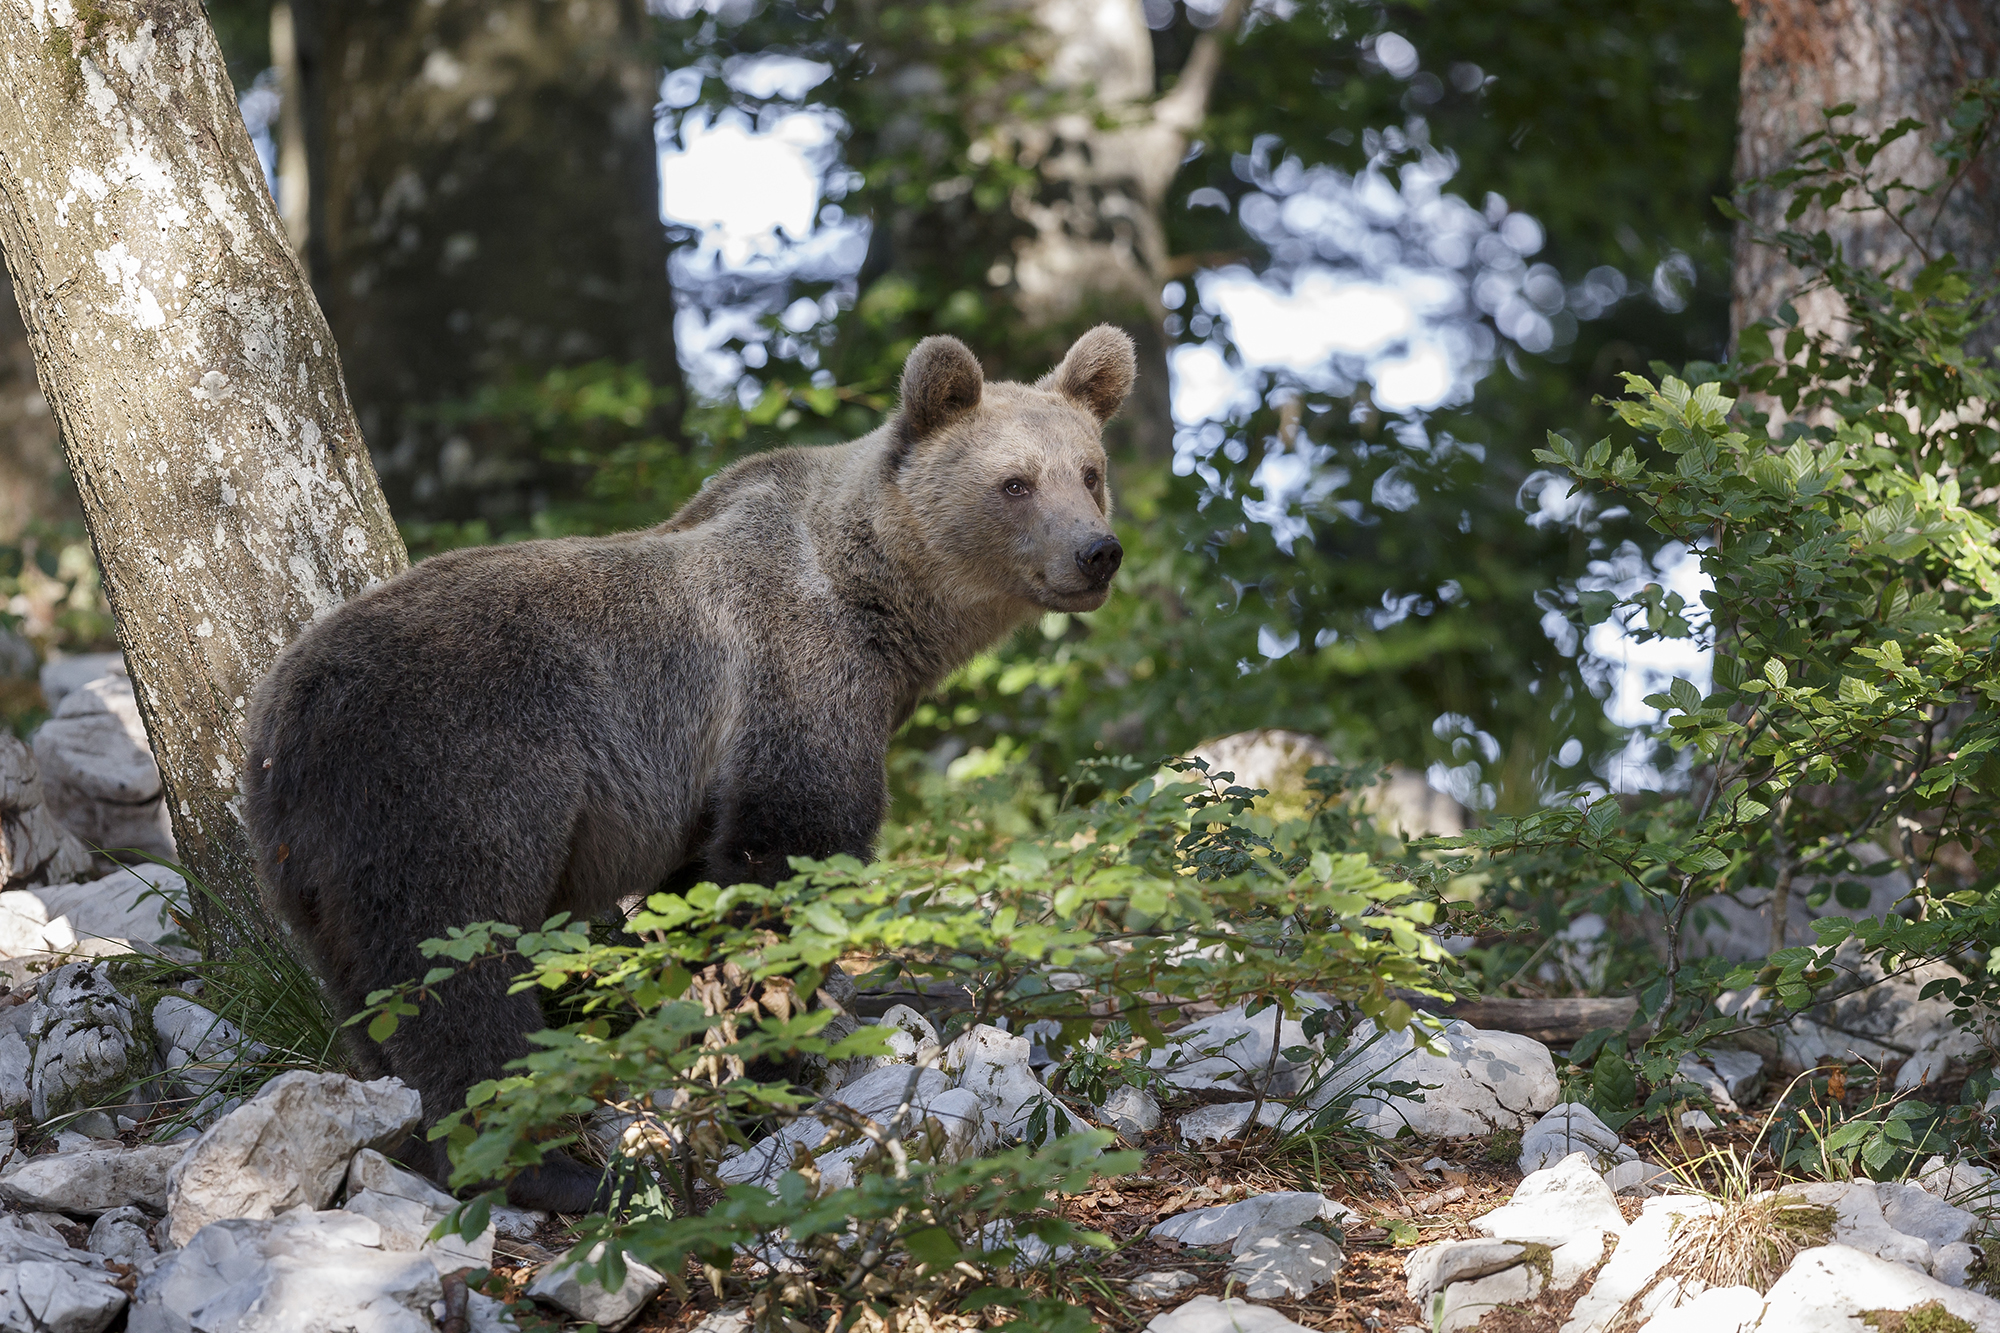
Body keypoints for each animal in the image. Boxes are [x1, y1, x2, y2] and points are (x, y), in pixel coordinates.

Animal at [241, 326, 1136, 1213]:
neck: (881, 610)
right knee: (454, 963)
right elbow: (786, 860)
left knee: (369, 993)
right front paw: (774, 1064)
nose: (1097, 551)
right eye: (1015, 482)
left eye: (1090, 472)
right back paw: (553, 1167)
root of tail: (288, 712)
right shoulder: (793, 684)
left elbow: (696, 899)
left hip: (313, 862)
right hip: (452, 773)